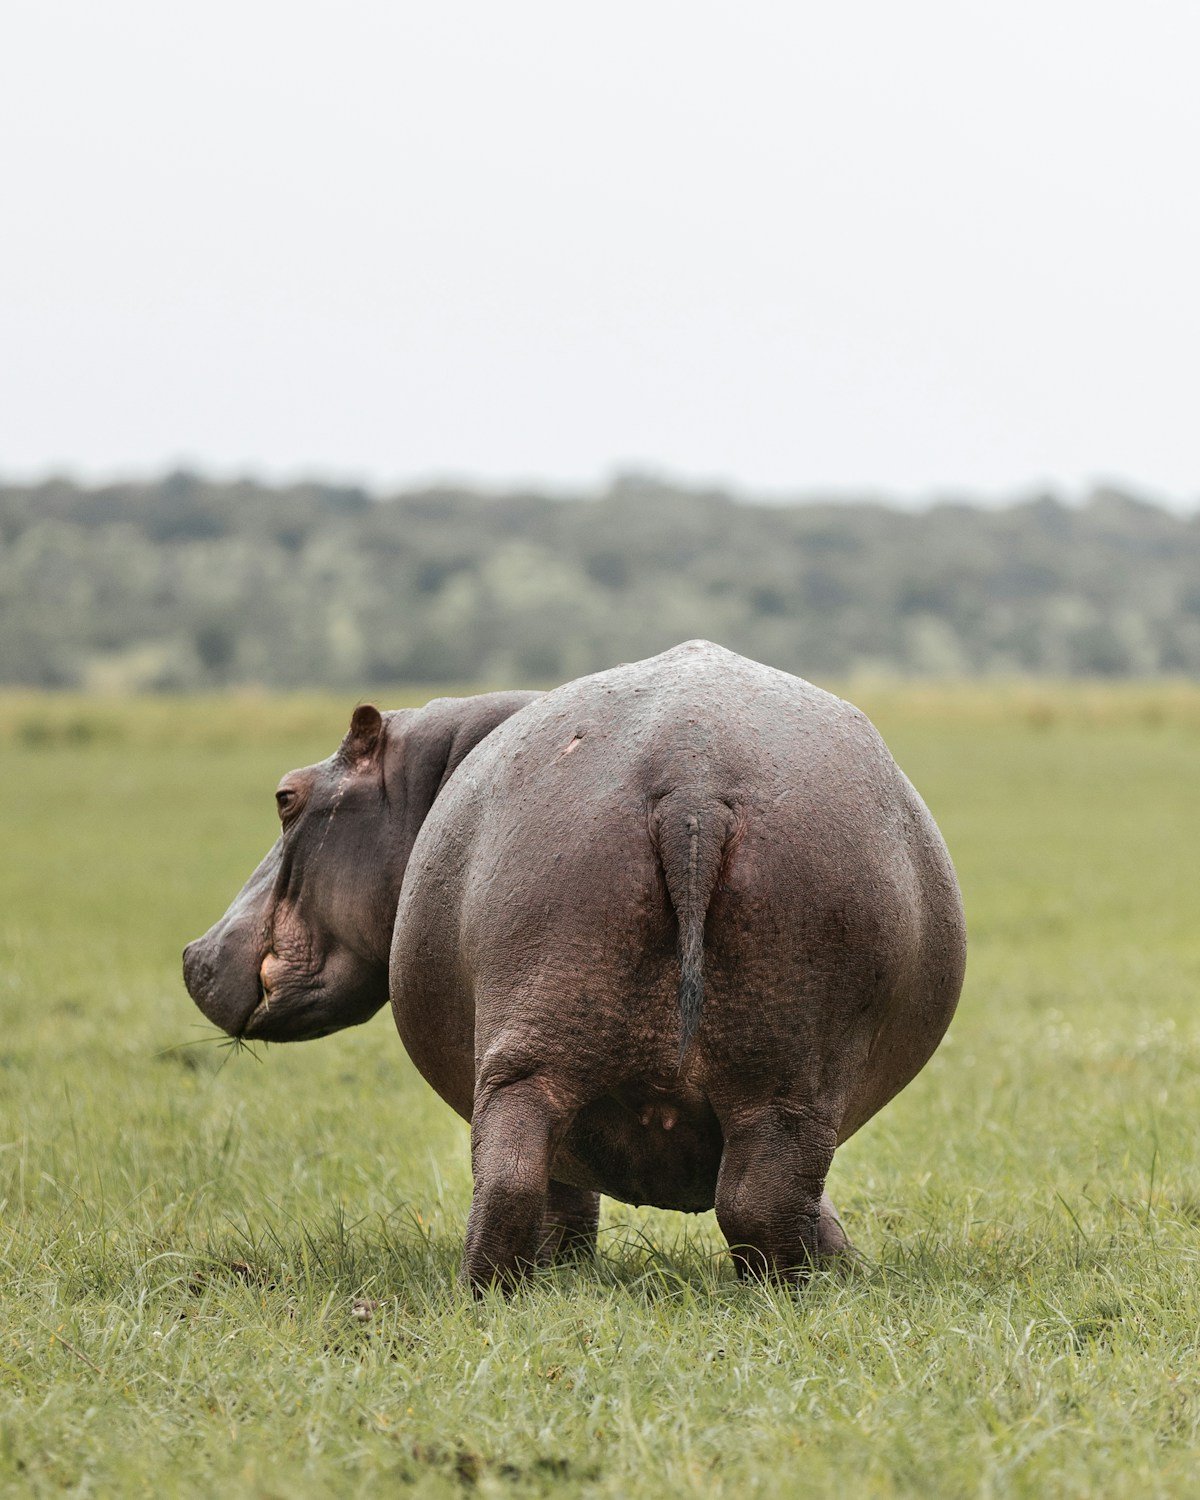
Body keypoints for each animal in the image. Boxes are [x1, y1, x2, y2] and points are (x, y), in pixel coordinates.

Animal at [184, 642, 966, 1288]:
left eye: (285, 798)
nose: (193, 954)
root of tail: (693, 781)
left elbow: (566, 1194)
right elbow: (814, 1201)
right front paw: (846, 1258)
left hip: (535, 1043)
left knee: (516, 1173)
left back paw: (487, 1293)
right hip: (782, 1072)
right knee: (763, 1194)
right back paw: (794, 1290)